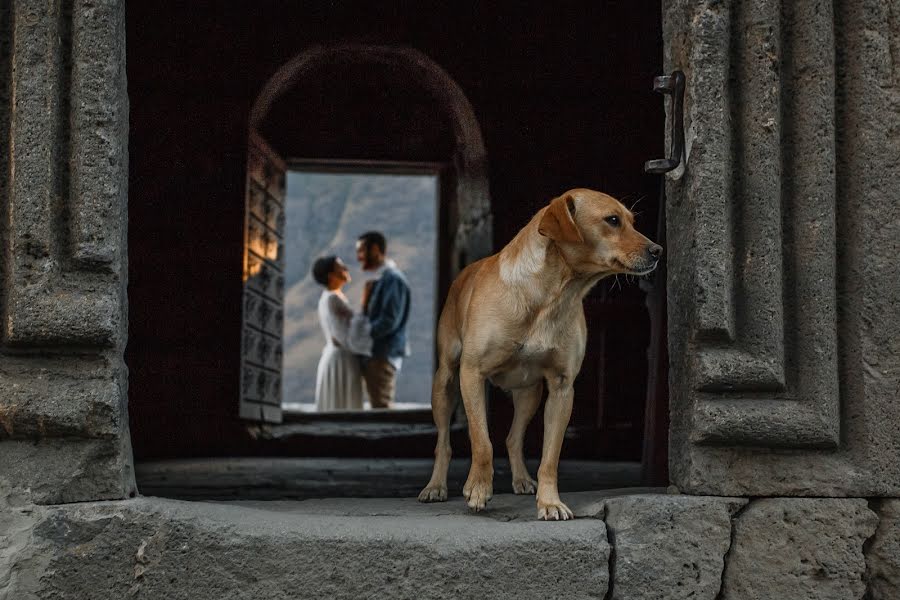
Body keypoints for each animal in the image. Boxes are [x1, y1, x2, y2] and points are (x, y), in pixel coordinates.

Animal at [416, 189, 660, 520]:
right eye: (612, 220)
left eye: (633, 221)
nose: (658, 250)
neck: (552, 295)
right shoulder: (471, 374)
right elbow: (482, 442)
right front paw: (478, 488)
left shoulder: (561, 388)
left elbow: (549, 458)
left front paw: (549, 502)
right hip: (445, 383)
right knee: (444, 443)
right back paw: (435, 486)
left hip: (528, 393)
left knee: (513, 438)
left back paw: (521, 479)